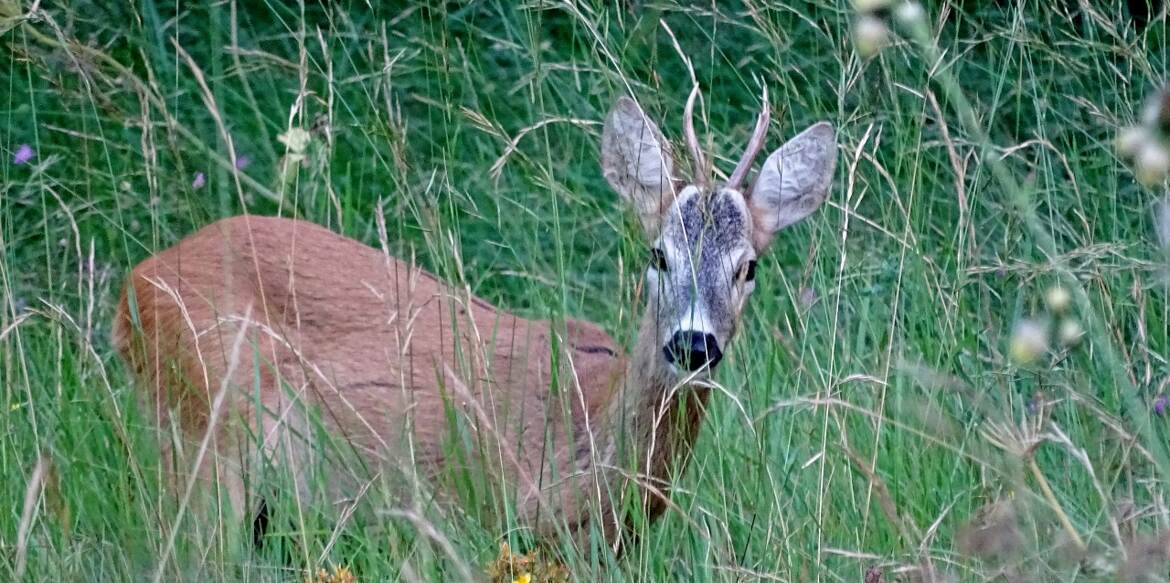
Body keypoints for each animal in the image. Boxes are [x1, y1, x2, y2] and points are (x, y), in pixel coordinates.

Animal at [114, 84, 837, 547]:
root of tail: (134, 282)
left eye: (749, 266)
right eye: (657, 253)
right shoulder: (491, 517)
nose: (692, 342)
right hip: (203, 438)